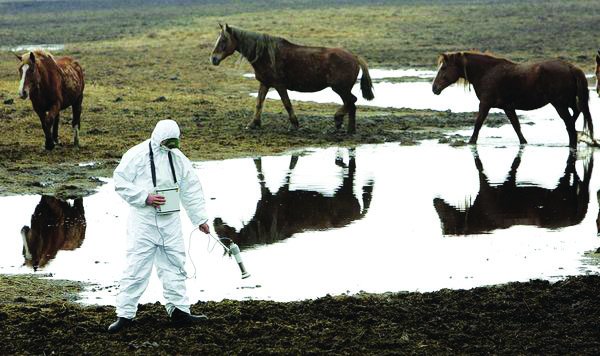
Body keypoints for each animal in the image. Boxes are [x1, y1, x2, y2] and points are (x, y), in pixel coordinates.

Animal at [209, 23, 372, 134]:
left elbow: (287, 104)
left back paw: (338, 120)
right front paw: (253, 123)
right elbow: (259, 103)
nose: (213, 59)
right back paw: (349, 129)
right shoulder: (265, 84)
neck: (266, 55)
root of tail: (355, 57)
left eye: (223, 41)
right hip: (342, 89)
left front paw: (294, 124)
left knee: (351, 102)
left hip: (340, 89)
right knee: (351, 104)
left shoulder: (279, 86)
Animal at [434, 50, 592, 148]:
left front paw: (471, 142)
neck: (486, 72)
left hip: (560, 104)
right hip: (568, 102)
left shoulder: (485, 104)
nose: (434, 88)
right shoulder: (508, 107)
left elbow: (478, 124)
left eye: (444, 68)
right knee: (576, 115)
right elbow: (517, 127)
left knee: (570, 126)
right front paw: (524, 142)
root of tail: (571, 67)